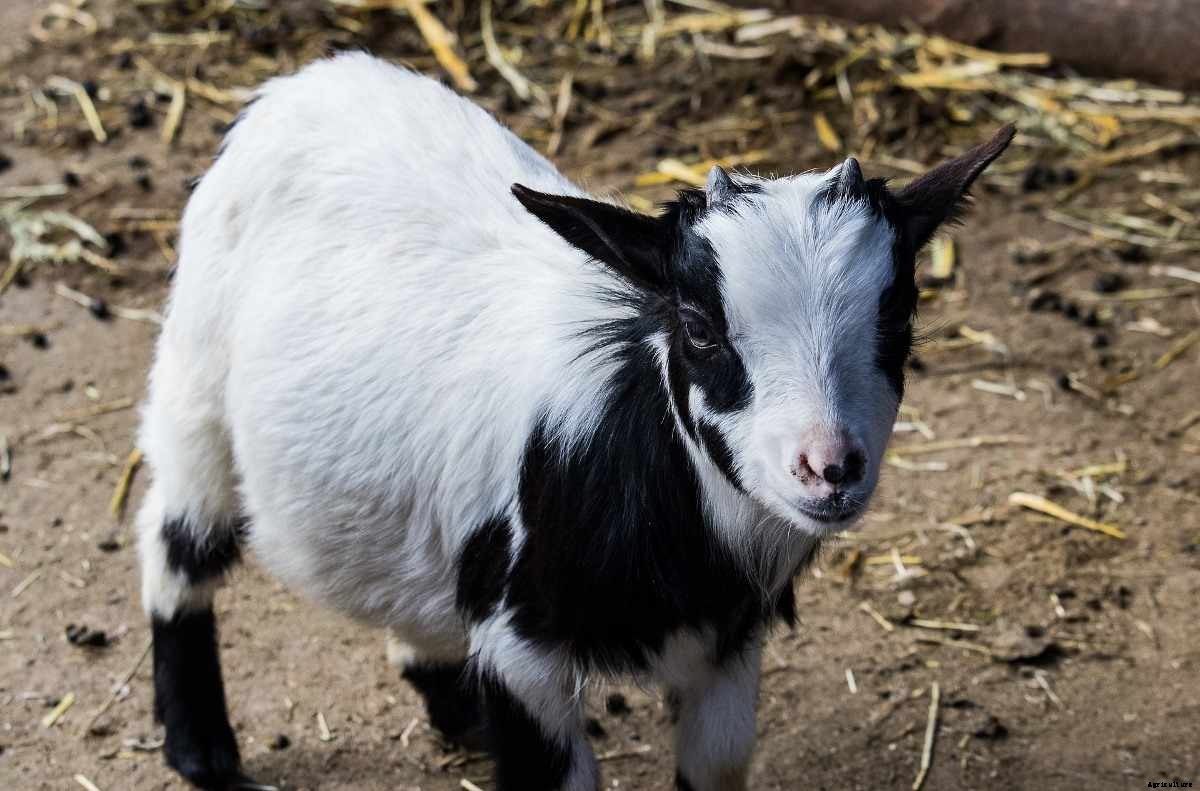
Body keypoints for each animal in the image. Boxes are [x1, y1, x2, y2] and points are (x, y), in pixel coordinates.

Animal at [137, 52, 1012, 791]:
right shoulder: (521, 647)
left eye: (898, 315)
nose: (829, 467)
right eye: (699, 327)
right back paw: (202, 748)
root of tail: (302, 83)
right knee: (175, 543)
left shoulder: (730, 647)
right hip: (196, 386)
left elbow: (717, 764)